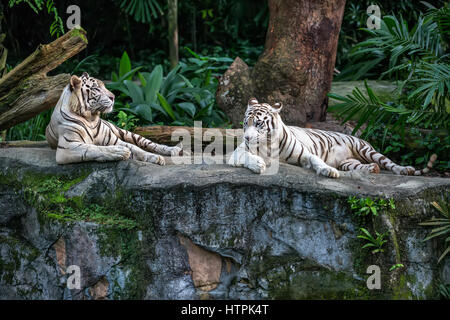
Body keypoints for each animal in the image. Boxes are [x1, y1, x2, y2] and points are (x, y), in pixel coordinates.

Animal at [44, 73, 181, 165]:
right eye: (96, 88)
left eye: (104, 86)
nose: (113, 97)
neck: (91, 119)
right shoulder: (67, 147)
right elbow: (94, 148)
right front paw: (120, 152)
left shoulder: (114, 140)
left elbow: (136, 148)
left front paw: (155, 157)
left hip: (126, 132)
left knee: (149, 143)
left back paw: (173, 149)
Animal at [229, 97, 436, 178]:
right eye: (245, 123)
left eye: (258, 124)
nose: (247, 138)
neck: (268, 142)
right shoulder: (237, 154)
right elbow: (247, 157)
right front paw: (258, 164)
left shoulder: (305, 154)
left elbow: (316, 160)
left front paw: (329, 171)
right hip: (349, 163)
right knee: (363, 166)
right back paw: (372, 169)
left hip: (367, 150)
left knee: (390, 163)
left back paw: (405, 170)